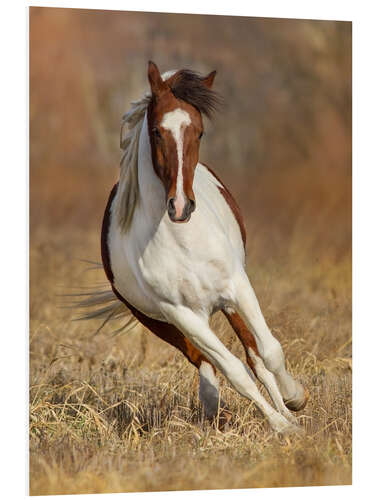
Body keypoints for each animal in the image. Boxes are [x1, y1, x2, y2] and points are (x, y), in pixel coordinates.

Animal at [84, 62, 308, 434]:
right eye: (157, 131)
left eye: (199, 132)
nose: (180, 206)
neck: (182, 241)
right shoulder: (179, 314)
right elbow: (235, 372)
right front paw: (281, 426)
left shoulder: (237, 286)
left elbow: (270, 352)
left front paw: (295, 403)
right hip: (163, 322)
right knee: (209, 363)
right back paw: (216, 406)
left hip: (228, 303)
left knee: (255, 356)